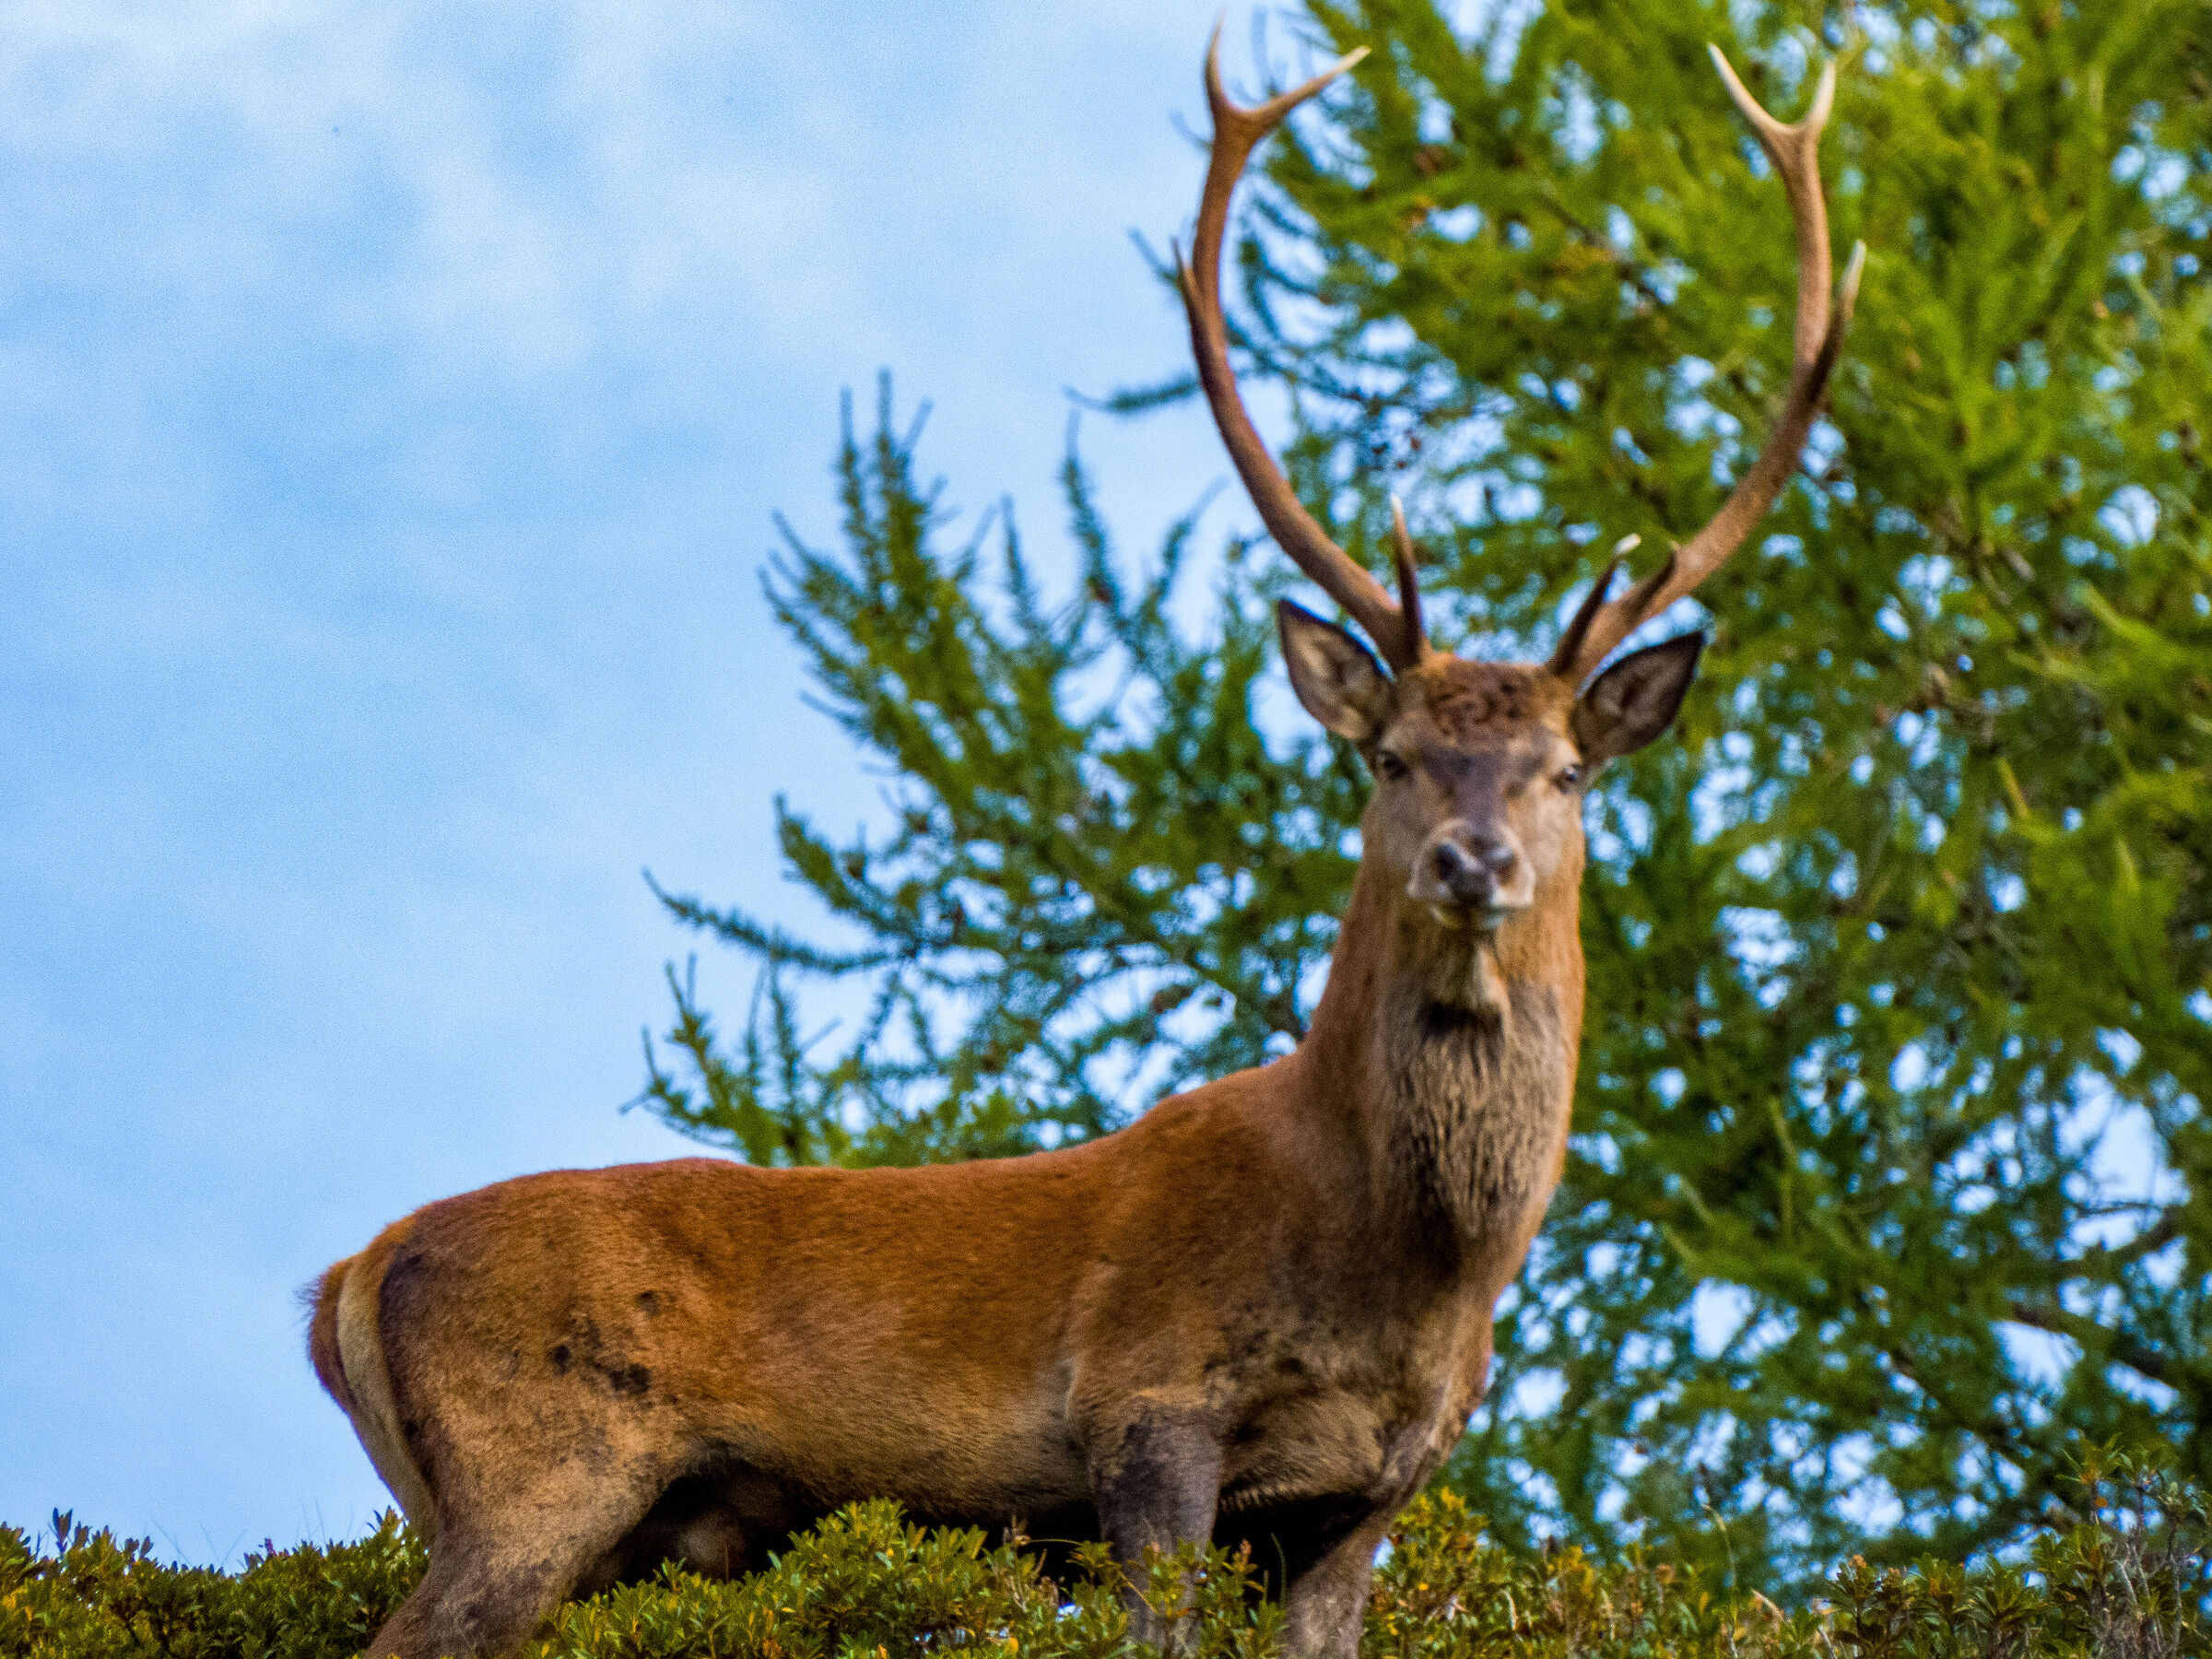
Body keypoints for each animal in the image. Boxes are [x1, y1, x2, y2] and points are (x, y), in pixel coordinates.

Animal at [307, 27, 1860, 1659]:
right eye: (1390, 758)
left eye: (1565, 771)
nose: (1473, 862)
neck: (1412, 1274)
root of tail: (349, 1277)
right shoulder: (1145, 1404)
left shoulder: (1367, 1496)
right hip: (533, 1471)